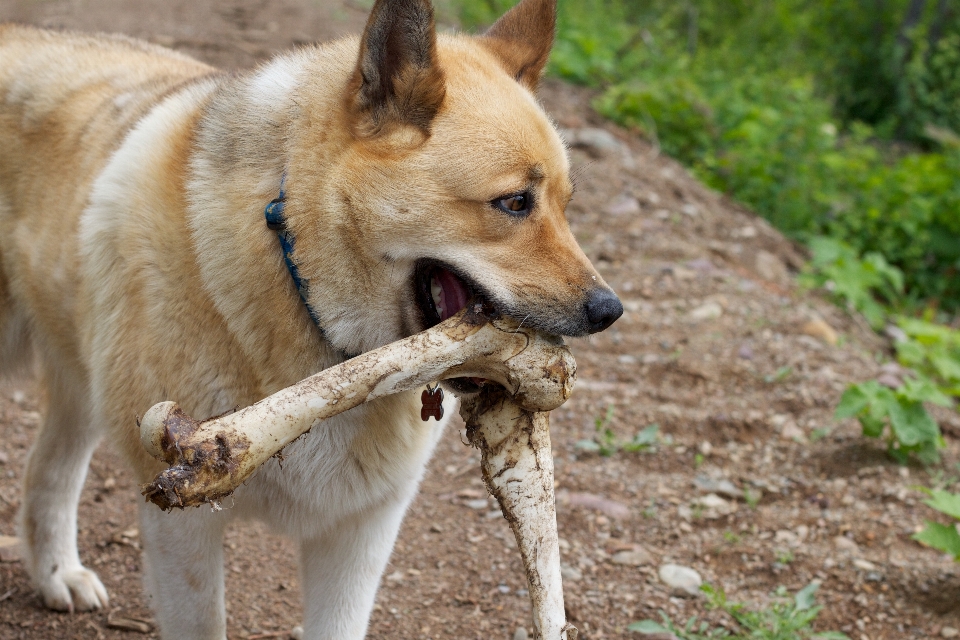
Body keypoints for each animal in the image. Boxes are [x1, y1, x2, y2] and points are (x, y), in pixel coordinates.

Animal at [0, 1, 624, 636]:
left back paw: (56, 575)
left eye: (566, 206)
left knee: (48, 469)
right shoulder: (183, 525)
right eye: (514, 203)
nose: (609, 311)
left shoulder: (361, 532)